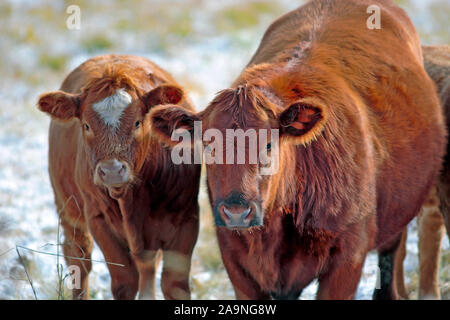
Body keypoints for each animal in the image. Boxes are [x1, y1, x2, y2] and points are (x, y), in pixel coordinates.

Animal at [37, 55, 200, 300]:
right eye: (86, 125)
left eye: (138, 123)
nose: (112, 170)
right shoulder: (98, 218)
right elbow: (125, 281)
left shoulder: (187, 216)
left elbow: (174, 284)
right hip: (67, 207)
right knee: (78, 257)